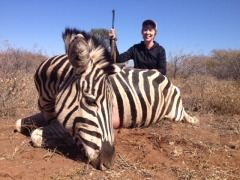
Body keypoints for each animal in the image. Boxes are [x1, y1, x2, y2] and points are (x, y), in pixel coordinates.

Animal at [15, 27, 199, 169]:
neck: (48, 96)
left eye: (113, 105)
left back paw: (193, 120)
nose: (109, 162)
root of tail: (163, 76)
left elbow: (36, 136)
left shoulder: (65, 123)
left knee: (185, 116)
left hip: (175, 113)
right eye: (90, 101)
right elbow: (18, 123)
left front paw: (63, 141)